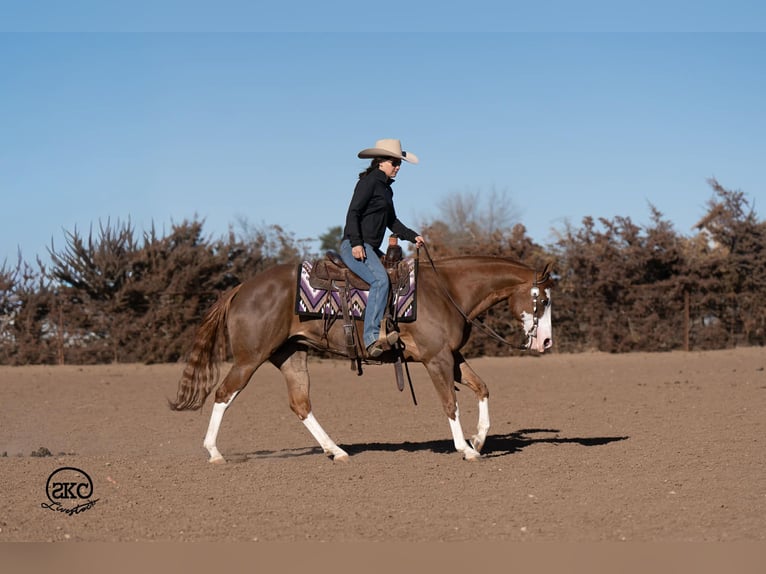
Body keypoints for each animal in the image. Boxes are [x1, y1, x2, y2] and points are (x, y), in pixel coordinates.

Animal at [170, 252, 554, 462]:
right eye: (544, 299)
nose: (546, 342)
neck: (448, 290)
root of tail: (241, 288)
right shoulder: (437, 359)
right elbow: (450, 403)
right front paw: (466, 448)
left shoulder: (452, 356)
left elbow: (482, 388)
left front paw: (479, 438)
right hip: (250, 358)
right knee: (224, 394)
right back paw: (214, 453)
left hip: (291, 355)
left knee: (300, 404)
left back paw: (336, 451)